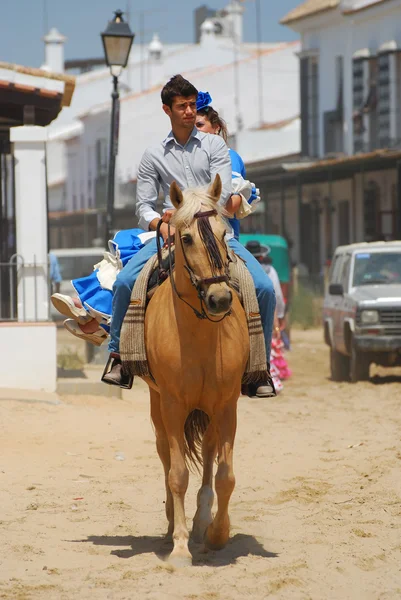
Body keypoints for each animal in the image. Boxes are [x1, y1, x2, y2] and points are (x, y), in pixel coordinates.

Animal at [144, 175, 248, 568]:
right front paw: (179, 545)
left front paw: (217, 534)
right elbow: (176, 475)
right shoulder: (172, 405)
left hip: (210, 412)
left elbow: (225, 476)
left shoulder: (227, 406)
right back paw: (174, 524)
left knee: (207, 456)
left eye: (223, 232)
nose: (220, 299)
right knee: (164, 454)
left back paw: (203, 522)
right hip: (157, 405)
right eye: (185, 238)